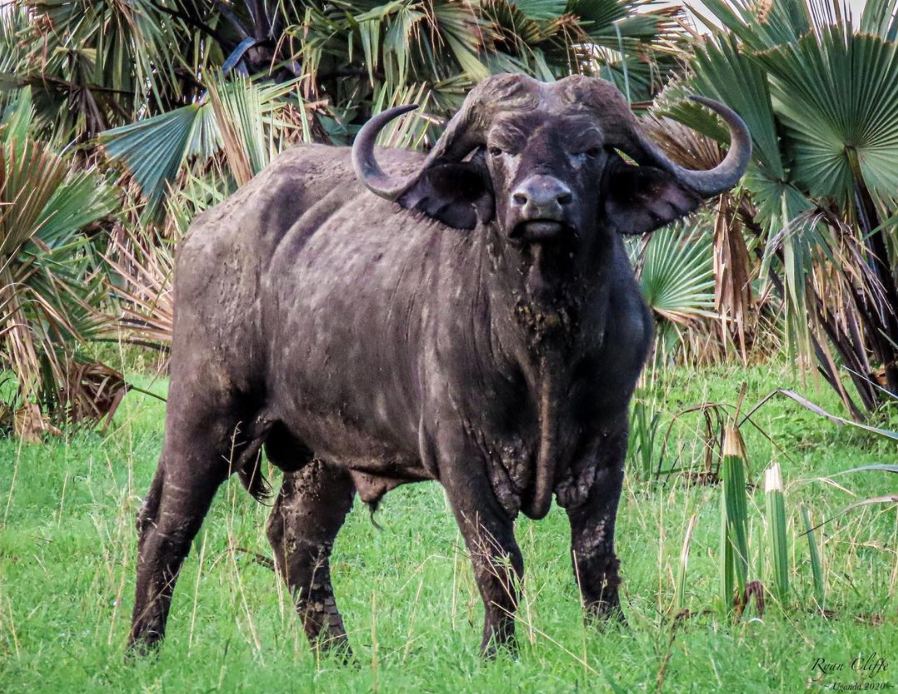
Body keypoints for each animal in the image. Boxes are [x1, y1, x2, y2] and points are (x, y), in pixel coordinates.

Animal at [128, 75, 748, 656]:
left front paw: (611, 637)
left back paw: (338, 656)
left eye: (591, 149)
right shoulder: (462, 452)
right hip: (204, 408)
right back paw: (142, 648)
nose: (540, 202)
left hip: (323, 449)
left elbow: (593, 555)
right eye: (498, 148)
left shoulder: (608, 440)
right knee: (167, 526)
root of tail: (212, 224)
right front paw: (498, 651)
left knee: (298, 539)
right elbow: (498, 560)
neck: (543, 343)